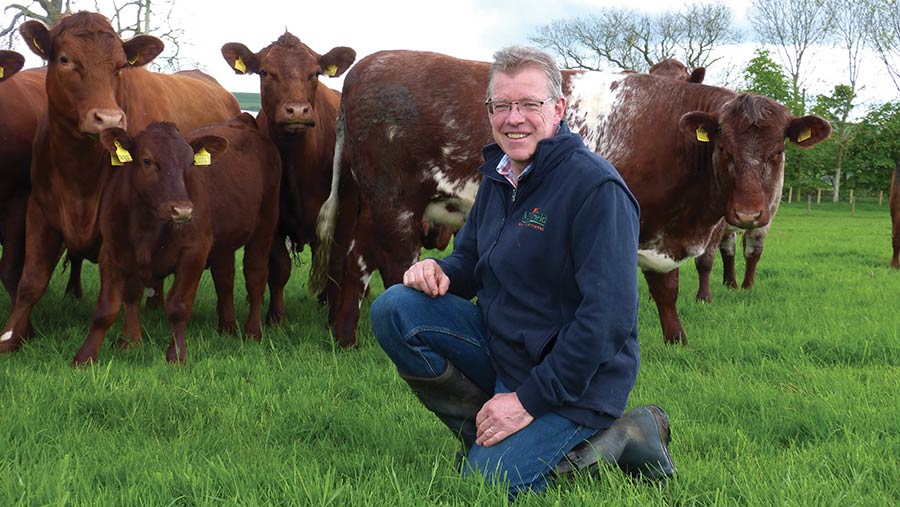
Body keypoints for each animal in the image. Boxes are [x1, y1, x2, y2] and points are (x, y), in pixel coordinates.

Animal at [0, 11, 243, 354]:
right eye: (65, 59)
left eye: (119, 66)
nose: (110, 119)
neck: (80, 173)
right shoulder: (38, 212)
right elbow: (29, 282)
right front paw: (12, 337)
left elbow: (128, 289)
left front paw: (130, 339)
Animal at [76, 117, 284, 368]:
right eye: (147, 160)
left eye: (190, 164)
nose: (182, 210)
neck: (146, 228)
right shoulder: (113, 250)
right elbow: (111, 306)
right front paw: (107, 349)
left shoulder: (194, 251)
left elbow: (179, 306)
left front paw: (176, 355)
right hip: (223, 244)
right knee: (225, 279)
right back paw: (227, 328)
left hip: (265, 227)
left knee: (255, 278)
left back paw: (253, 332)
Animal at [221, 32, 356, 326]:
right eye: (265, 72)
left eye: (315, 73)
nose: (297, 111)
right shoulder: (272, 217)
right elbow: (279, 267)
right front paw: (276, 317)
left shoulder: (343, 214)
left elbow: (336, 264)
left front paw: (334, 318)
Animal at [310, 49, 828, 348]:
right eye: (724, 149)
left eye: (778, 152)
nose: (748, 213)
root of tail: (366, 65)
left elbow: (667, 288)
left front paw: (676, 340)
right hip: (395, 202)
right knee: (396, 263)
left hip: (368, 201)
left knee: (354, 260)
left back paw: (345, 337)